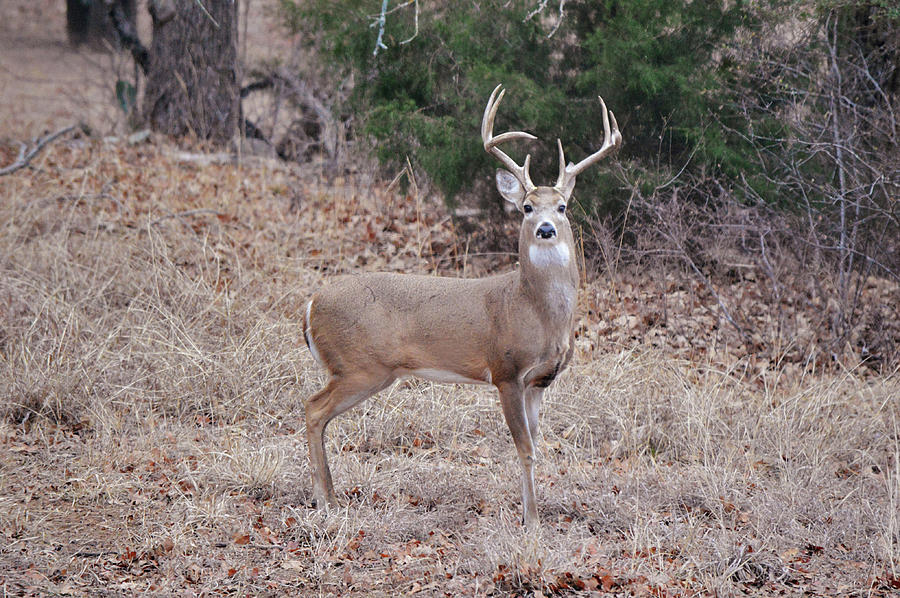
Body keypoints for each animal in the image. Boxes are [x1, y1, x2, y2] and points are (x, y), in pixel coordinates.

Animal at [302, 85, 620, 528]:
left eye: (562, 207)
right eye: (526, 207)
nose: (545, 229)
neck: (535, 312)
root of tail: (311, 304)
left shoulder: (540, 381)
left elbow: (537, 445)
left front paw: (534, 513)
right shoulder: (505, 371)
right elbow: (524, 449)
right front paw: (532, 522)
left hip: (364, 370)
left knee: (316, 412)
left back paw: (329, 497)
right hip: (359, 365)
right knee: (313, 409)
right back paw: (324, 500)